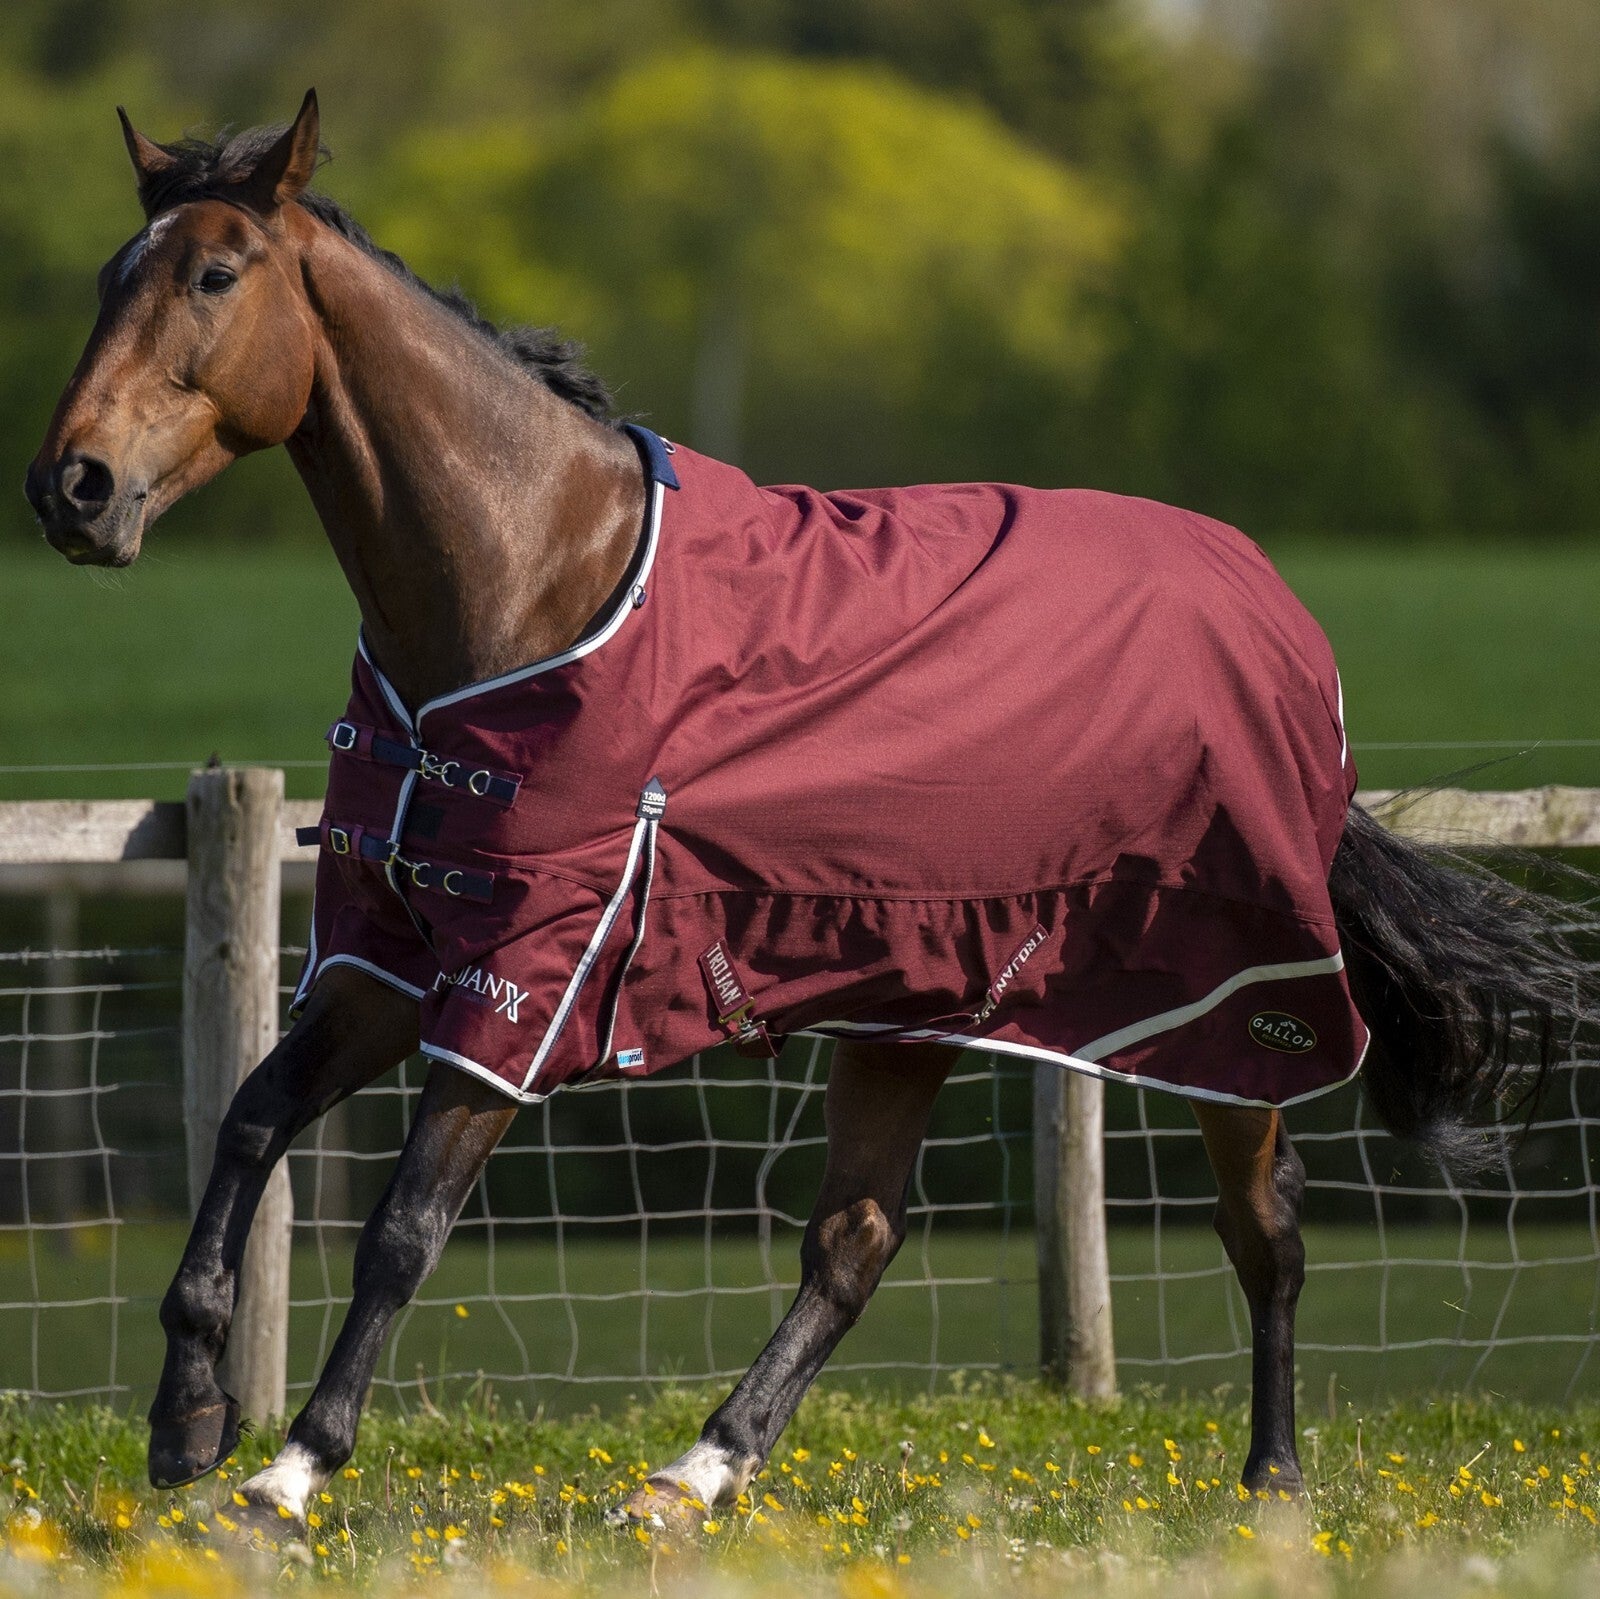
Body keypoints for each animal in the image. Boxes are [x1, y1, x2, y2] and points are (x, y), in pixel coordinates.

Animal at [25, 92, 1594, 1534]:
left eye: (216, 275)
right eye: (109, 272)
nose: (71, 489)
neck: (533, 582)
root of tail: (1279, 619)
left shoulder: (528, 973)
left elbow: (407, 1225)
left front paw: (290, 1468)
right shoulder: (386, 957)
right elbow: (247, 1123)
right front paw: (188, 1420)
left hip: (1225, 1007)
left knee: (1263, 1226)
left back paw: (1270, 1487)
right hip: (923, 996)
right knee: (857, 1238)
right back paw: (691, 1471)